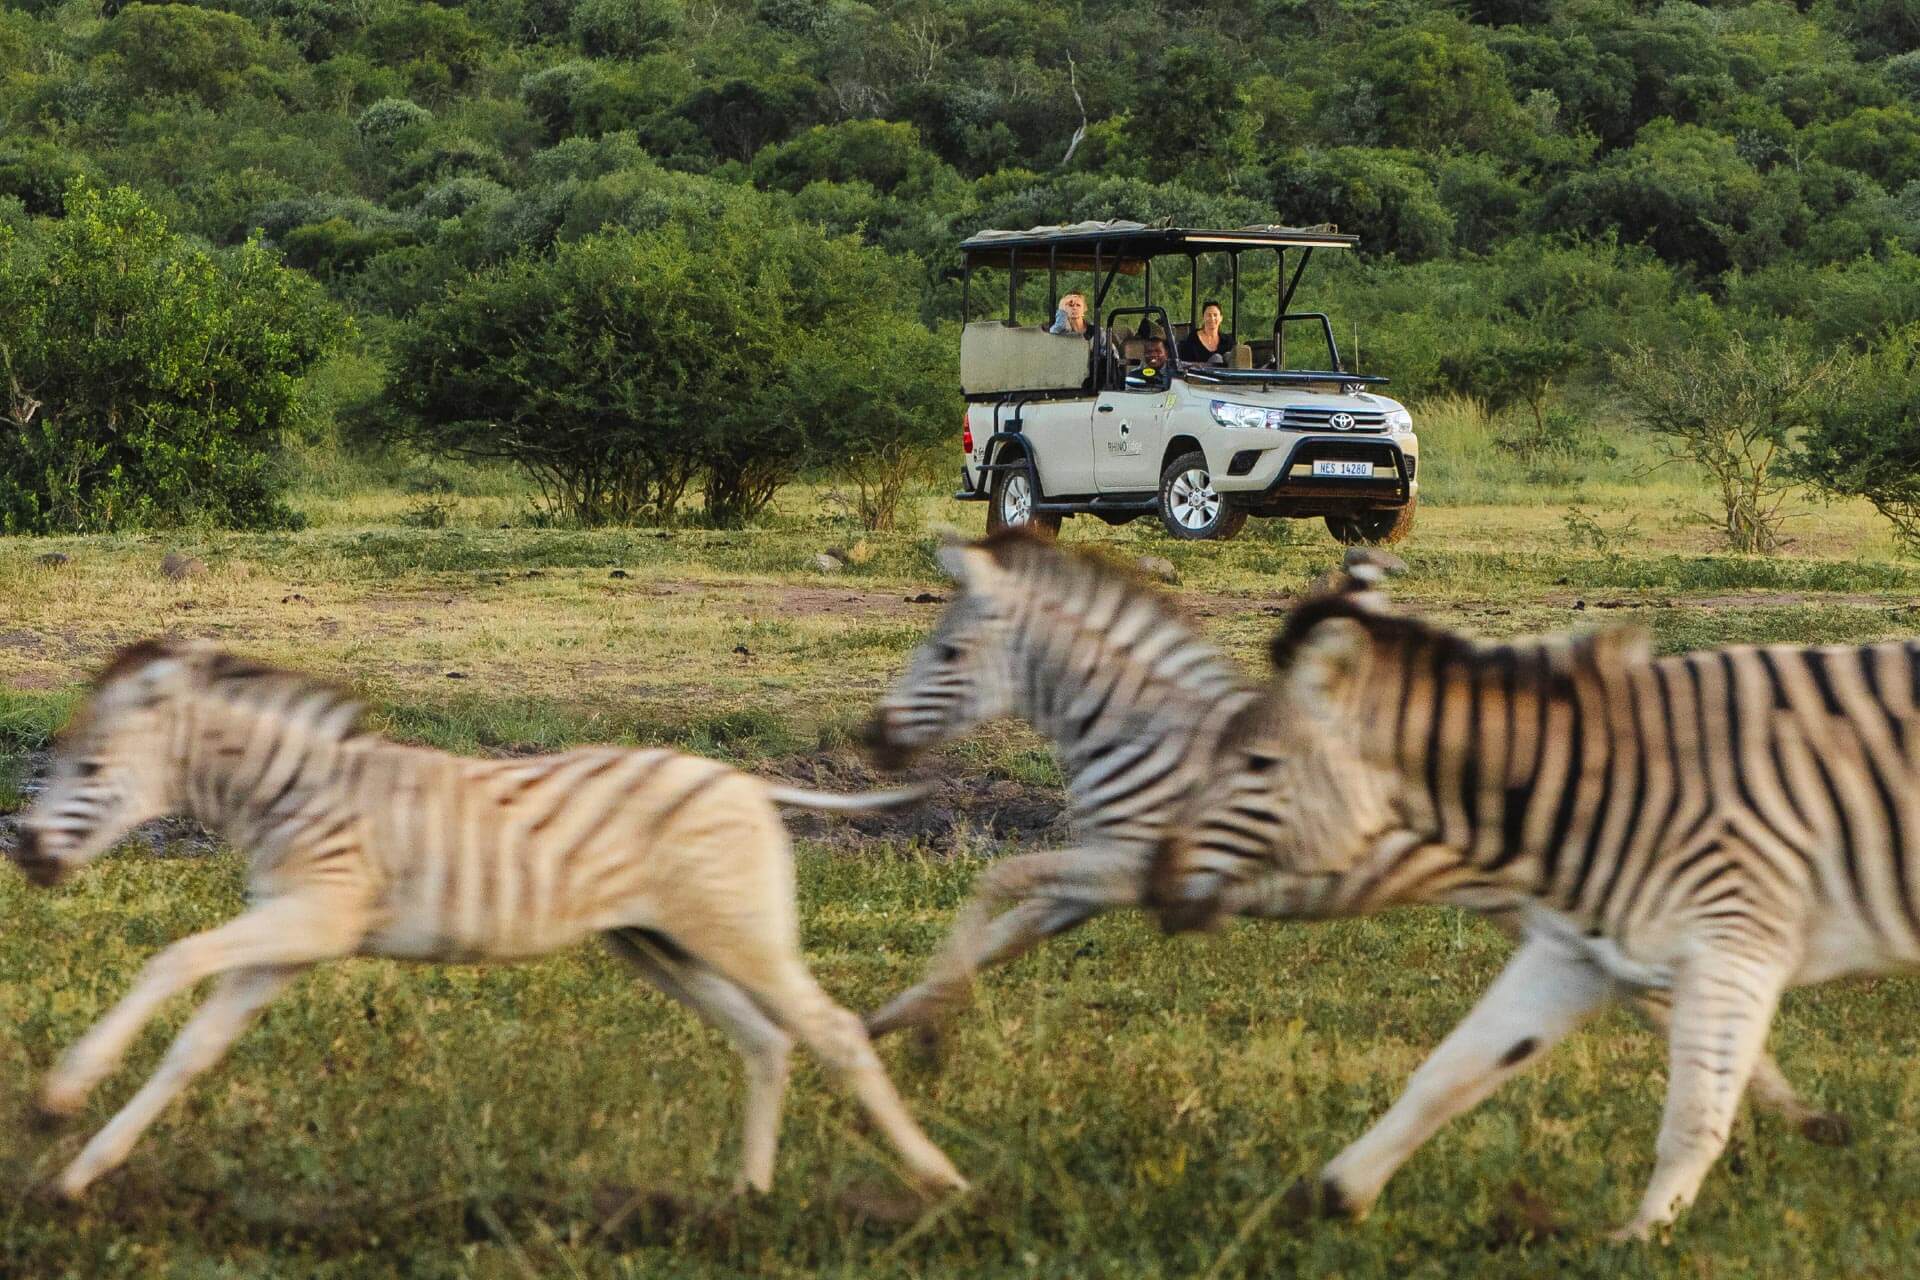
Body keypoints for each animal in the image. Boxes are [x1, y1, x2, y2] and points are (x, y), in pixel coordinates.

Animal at [10, 639, 968, 1202]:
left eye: (89, 767)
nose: (23, 851)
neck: (290, 795)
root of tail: (744, 780)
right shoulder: (290, 935)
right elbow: (193, 1050)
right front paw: (81, 1173)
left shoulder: (319, 915)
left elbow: (168, 960)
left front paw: (58, 1099)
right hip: (662, 945)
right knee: (766, 1041)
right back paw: (746, 1201)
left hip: (737, 932)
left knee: (833, 1031)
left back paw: (941, 1181)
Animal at [859, 530, 1839, 1160]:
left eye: (946, 656)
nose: (873, 739)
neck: (1143, 729)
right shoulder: (1103, 882)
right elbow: (1003, 929)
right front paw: (893, 1022)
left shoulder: (1132, 865)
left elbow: (998, 880)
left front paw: (927, 1036)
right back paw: (1798, 1119)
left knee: (1676, 997)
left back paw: (1790, 1119)